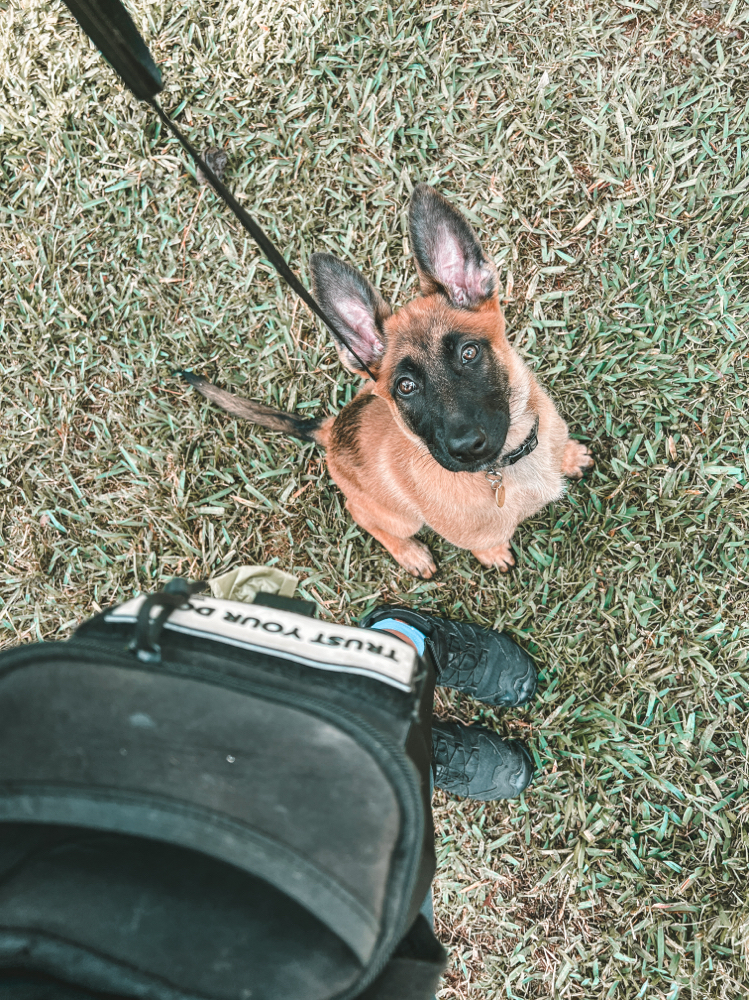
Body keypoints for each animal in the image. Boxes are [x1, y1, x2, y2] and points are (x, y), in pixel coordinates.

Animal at [181, 185, 592, 580]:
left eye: (469, 352)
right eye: (405, 387)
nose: (466, 448)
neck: (508, 464)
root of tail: (332, 430)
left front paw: (569, 456)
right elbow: (483, 543)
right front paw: (491, 553)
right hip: (397, 516)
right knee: (362, 515)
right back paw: (409, 553)